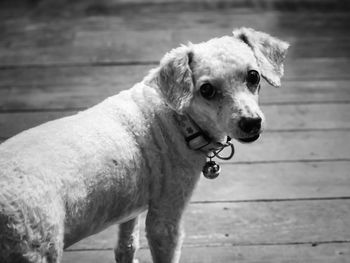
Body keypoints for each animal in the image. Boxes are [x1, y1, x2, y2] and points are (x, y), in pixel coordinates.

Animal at [0, 27, 288, 262]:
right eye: (206, 90)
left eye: (253, 76)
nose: (252, 123)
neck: (179, 121)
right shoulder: (165, 219)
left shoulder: (129, 207)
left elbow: (126, 247)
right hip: (36, 247)